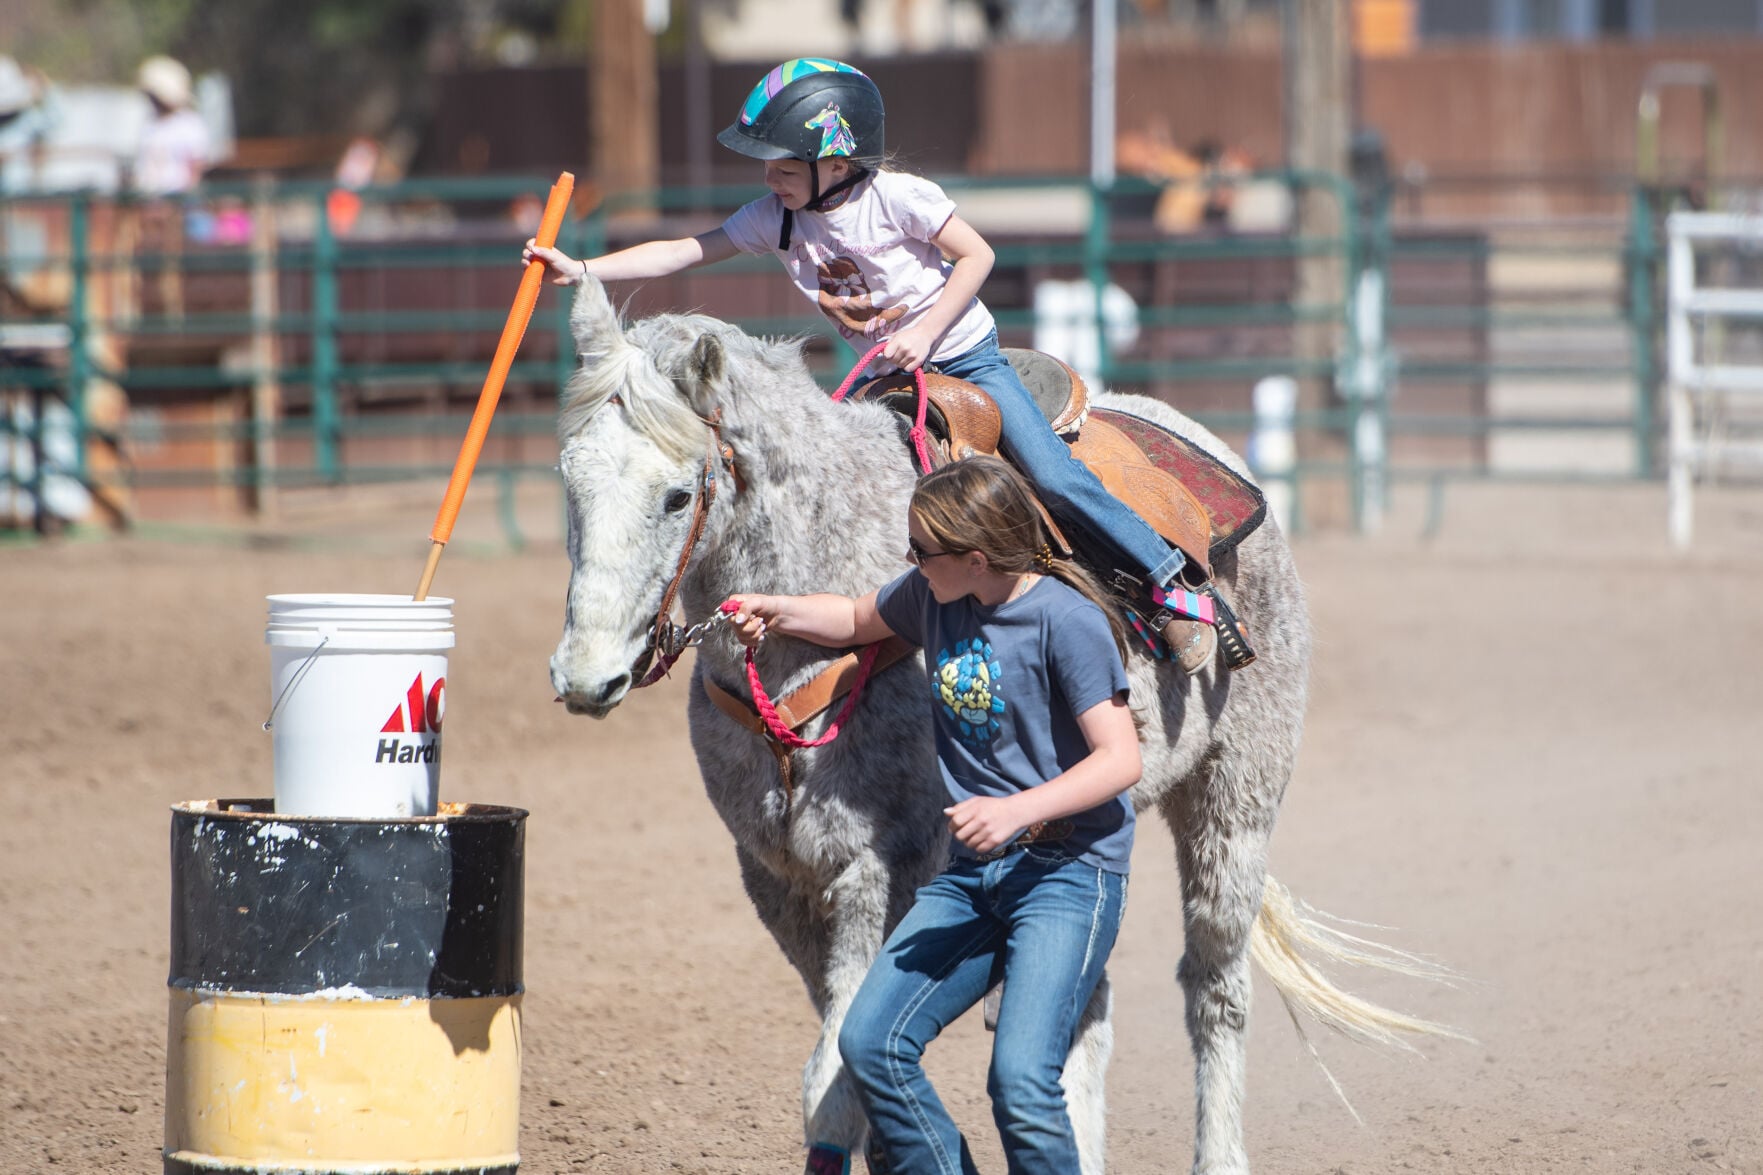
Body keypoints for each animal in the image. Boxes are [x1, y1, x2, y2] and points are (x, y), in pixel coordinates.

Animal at [549, 275, 1456, 1174]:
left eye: (676, 495)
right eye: (568, 482)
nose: (586, 675)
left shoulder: (881, 871)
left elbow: (832, 1083)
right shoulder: (776, 880)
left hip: (1233, 800)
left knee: (1216, 990)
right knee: (1084, 1011)